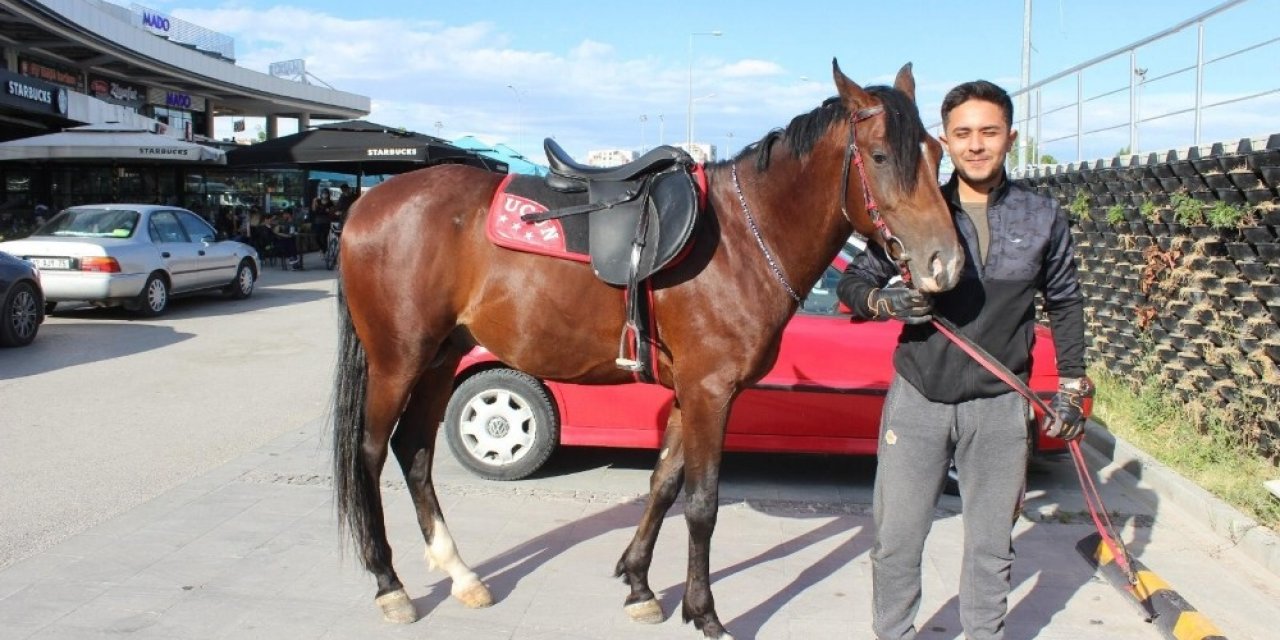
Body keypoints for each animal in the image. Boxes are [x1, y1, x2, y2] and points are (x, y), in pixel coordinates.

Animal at [330, 58, 962, 634]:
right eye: (880, 157)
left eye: (936, 153)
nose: (945, 263)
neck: (742, 242)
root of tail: (365, 205)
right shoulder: (711, 392)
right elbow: (702, 504)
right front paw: (705, 614)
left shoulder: (690, 393)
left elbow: (663, 484)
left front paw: (638, 585)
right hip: (397, 360)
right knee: (370, 451)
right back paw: (390, 585)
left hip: (441, 357)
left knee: (414, 450)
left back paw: (461, 575)